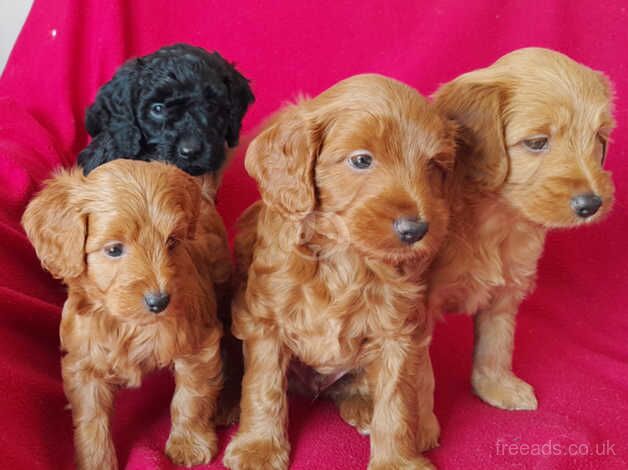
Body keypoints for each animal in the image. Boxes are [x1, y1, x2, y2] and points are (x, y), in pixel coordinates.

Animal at [22, 161, 233, 470]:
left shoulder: (198, 343)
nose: (160, 301)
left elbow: (191, 397)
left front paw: (188, 444)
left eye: (172, 242)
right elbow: (91, 419)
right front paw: (95, 461)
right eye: (113, 250)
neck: (129, 325)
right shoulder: (83, 364)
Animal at [224, 74, 456, 470]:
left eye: (432, 166)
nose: (415, 230)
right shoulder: (264, 319)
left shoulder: (398, 331)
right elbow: (263, 387)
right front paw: (259, 447)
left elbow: (397, 400)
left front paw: (396, 460)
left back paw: (363, 407)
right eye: (361, 160)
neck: (344, 257)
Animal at [430, 46, 616, 410]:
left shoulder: (506, 291)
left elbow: (497, 344)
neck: (497, 218)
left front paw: (496, 385)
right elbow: (417, 379)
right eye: (537, 142)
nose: (591, 204)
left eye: (598, 137)